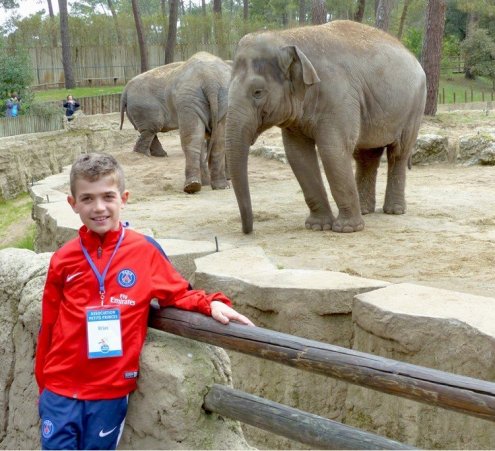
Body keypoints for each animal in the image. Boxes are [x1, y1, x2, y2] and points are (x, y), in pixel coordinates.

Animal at [228, 19, 426, 233]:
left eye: (257, 92)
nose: (248, 230)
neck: (288, 36)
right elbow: (297, 155)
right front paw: (318, 226)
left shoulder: (339, 97)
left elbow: (332, 150)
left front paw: (347, 229)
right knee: (366, 156)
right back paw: (365, 210)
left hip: (414, 107)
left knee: (399, 153)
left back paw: (394, 211)